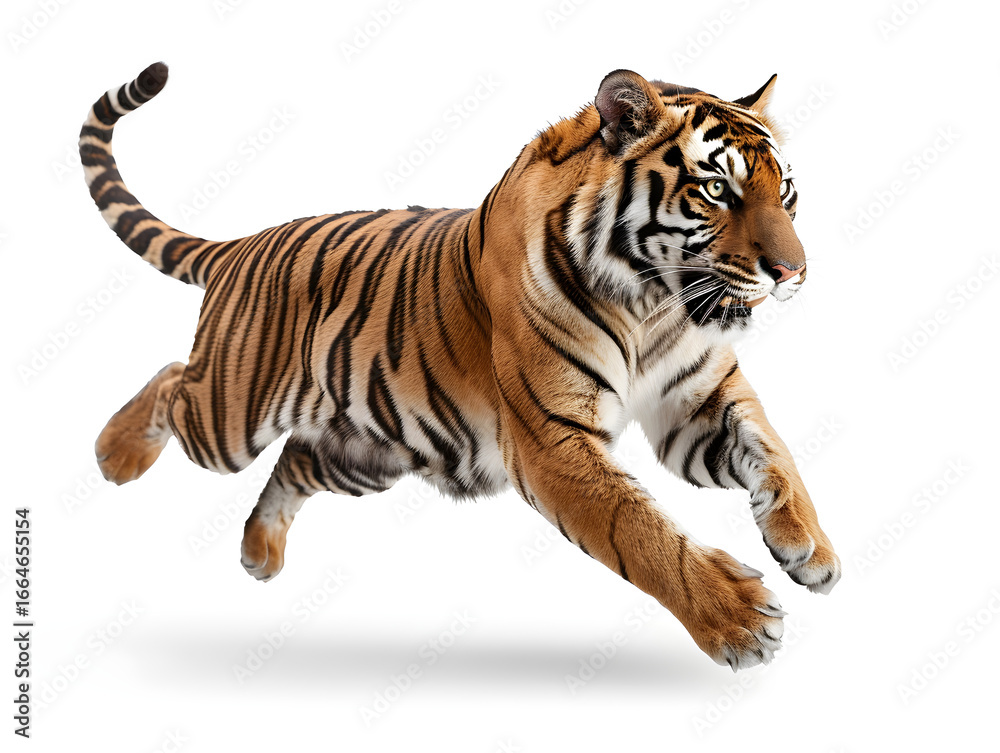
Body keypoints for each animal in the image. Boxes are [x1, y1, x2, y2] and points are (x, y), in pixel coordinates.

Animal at [83, 62, 840, 671]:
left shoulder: (697, 405)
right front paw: (738, 618)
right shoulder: (552, 440)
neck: (653, 304)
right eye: (716, 190)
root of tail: (243, 243)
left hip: (368, 452)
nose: (793, 272)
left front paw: (811, 548)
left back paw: (258, 550)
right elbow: (641, 531)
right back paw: (114, 454)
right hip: (229, 417)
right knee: (171, 380)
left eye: (786, 191)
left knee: (293, 461)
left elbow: (776, 453)